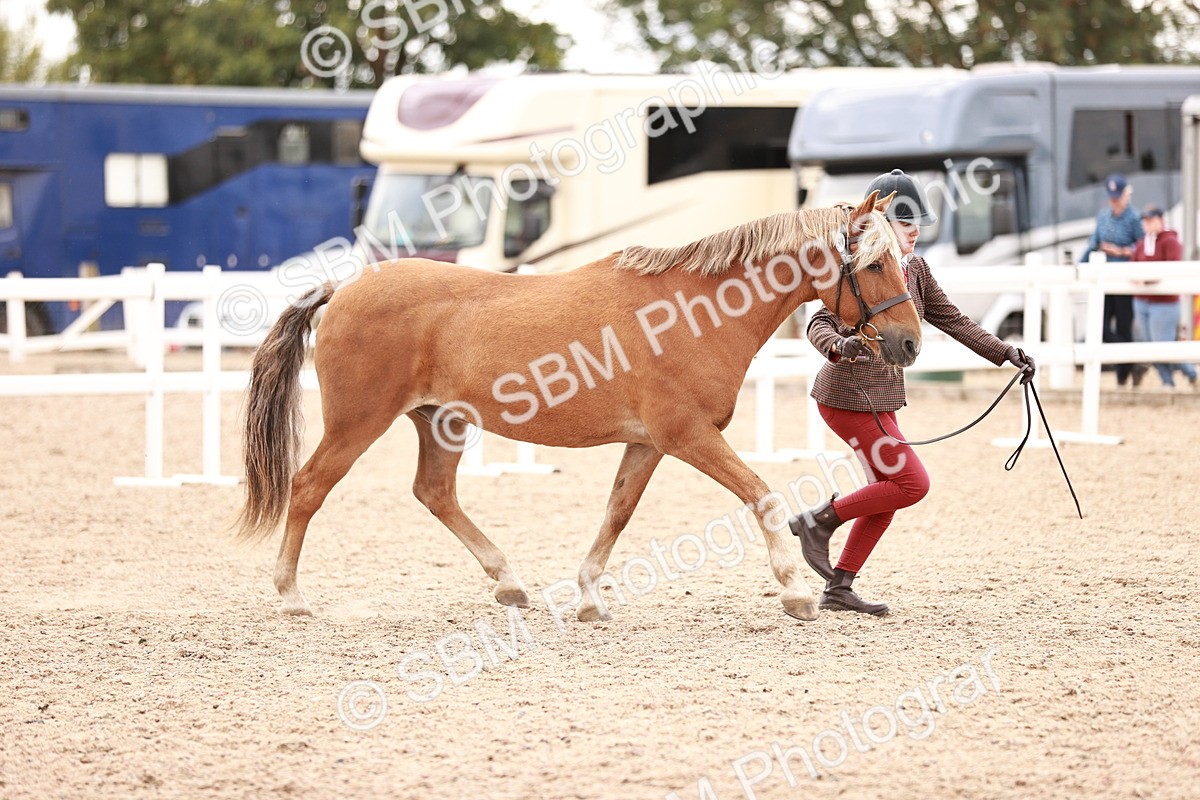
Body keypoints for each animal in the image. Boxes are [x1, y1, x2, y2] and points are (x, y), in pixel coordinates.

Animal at [235, 190, 921, 622]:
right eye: (875, 263)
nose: (908, 343)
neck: (694, 312)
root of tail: (342, 287)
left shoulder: (648, 442)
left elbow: (617, 512)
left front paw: (590, 597)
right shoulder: (688, 436)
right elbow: (763, 496)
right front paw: (796, 592)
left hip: (441, 423)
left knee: (434, 492)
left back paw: (510, 583)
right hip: (358, 422)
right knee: (308, 487)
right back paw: (291, 596)